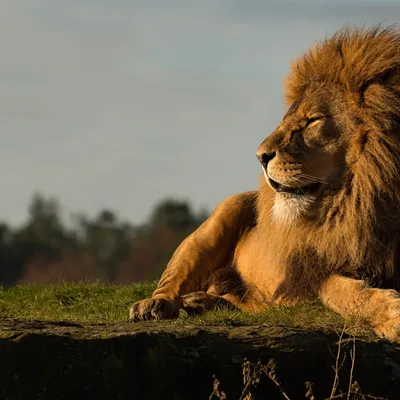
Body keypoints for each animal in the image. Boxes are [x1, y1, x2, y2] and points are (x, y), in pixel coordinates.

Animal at [129, 25, 400, 340]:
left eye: (312, 120)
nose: (260, 156)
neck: (360, 199)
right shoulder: (310, 273)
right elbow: (340, 291)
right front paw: (392, 316)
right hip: (216, 223)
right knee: (173, 280)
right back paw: (156, 304)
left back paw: (203, 302)